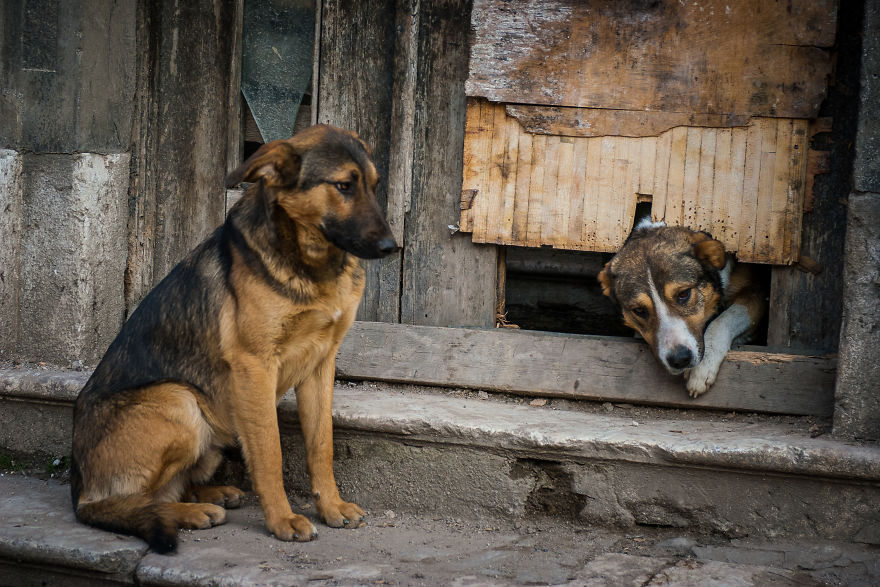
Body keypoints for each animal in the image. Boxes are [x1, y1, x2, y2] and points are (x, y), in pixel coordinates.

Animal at [70, 124, 398, 552]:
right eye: (343, 185)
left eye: (374, 186)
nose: (392, 247)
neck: (310, 262)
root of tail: (78, 488)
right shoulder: (255, 367)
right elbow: (270, 452)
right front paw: (282, 519)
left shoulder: (320, 364)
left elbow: (320, 444)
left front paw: (331, 507)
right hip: (180, 401)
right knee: (123, 503)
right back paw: (190, 512)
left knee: (166, 491)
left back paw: (209, 498)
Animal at [596, 222, 768, 400]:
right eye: (639, 310)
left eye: (684, 294)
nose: (680, 359)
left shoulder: (756, 293)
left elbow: (724, 319)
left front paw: (703, 366)